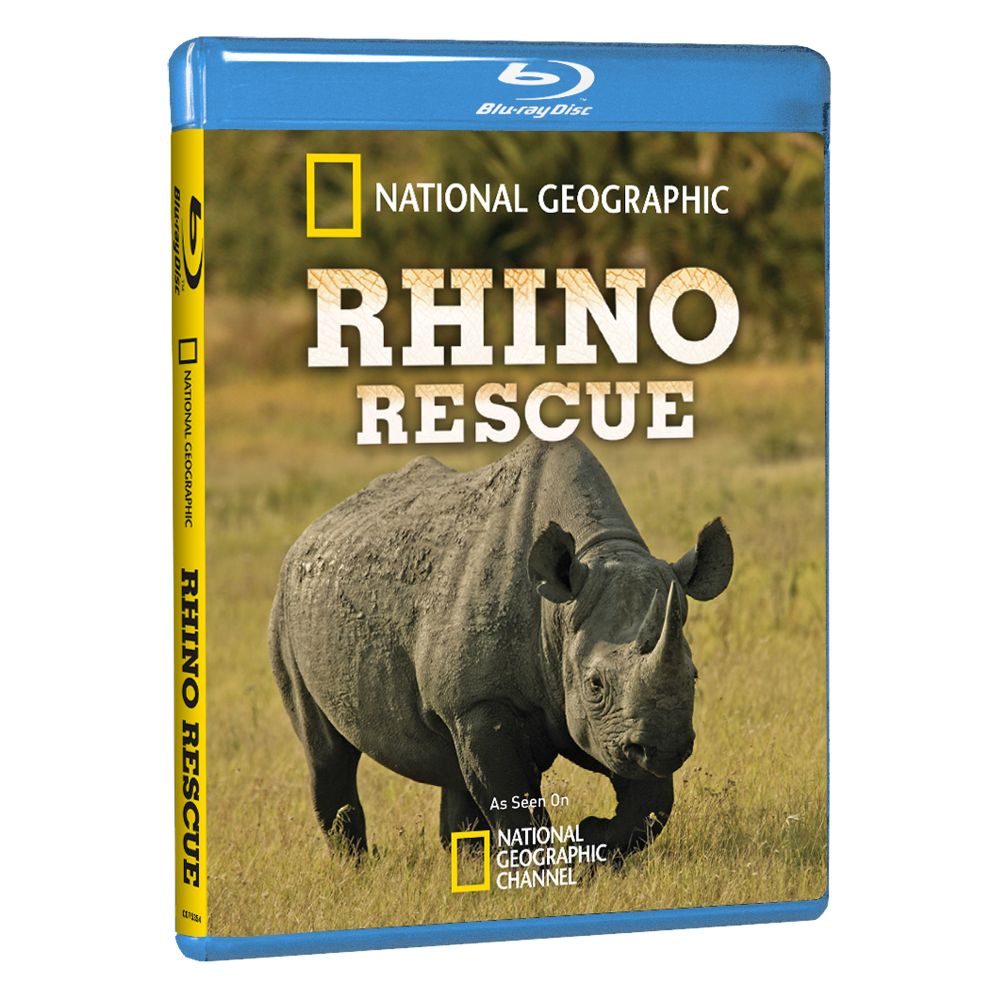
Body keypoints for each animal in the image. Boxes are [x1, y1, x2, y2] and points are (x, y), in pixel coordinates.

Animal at [269, 436, 733, 863]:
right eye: (595, 685)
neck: (559, 611)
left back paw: (467, 861)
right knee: (326, 753)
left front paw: (588, 843)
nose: (665, 748)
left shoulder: (625, 723)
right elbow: (512, 800)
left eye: (693, 676)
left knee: (451, 765)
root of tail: (309, 533)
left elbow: (651, 806)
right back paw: (358, 867)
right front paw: (539, 876)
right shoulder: (480, 702)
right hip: (287, 607)